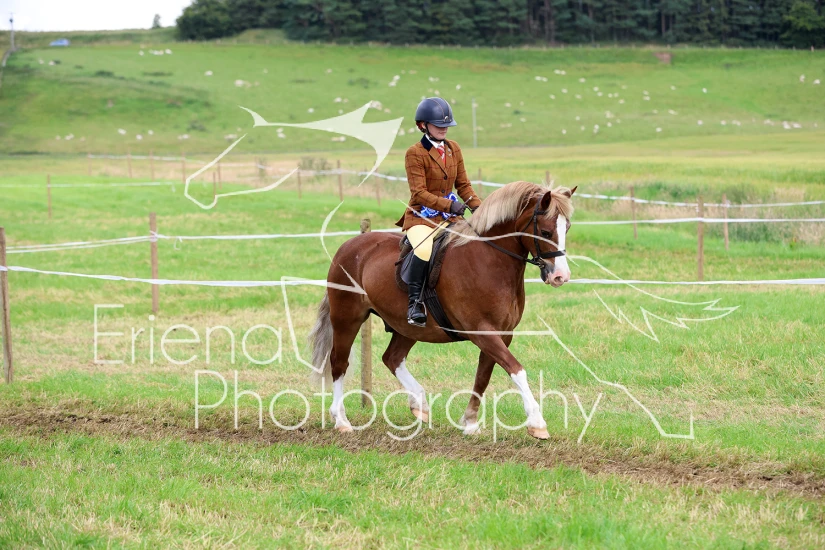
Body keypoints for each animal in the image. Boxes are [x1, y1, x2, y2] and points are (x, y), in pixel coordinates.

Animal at [309, 181, 576, 439]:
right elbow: (517, 370)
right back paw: (341, 421)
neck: (489, 260)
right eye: (545, 232)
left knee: (392, 358)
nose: (561, 277)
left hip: (407, 327)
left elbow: (483, 376)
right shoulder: (482, 332)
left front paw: (470, 422)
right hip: (347, 319)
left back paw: (420, 404)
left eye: (567, 228)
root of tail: (348, 246)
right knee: (339, 363)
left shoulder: (502, 334)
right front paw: (537, 423)